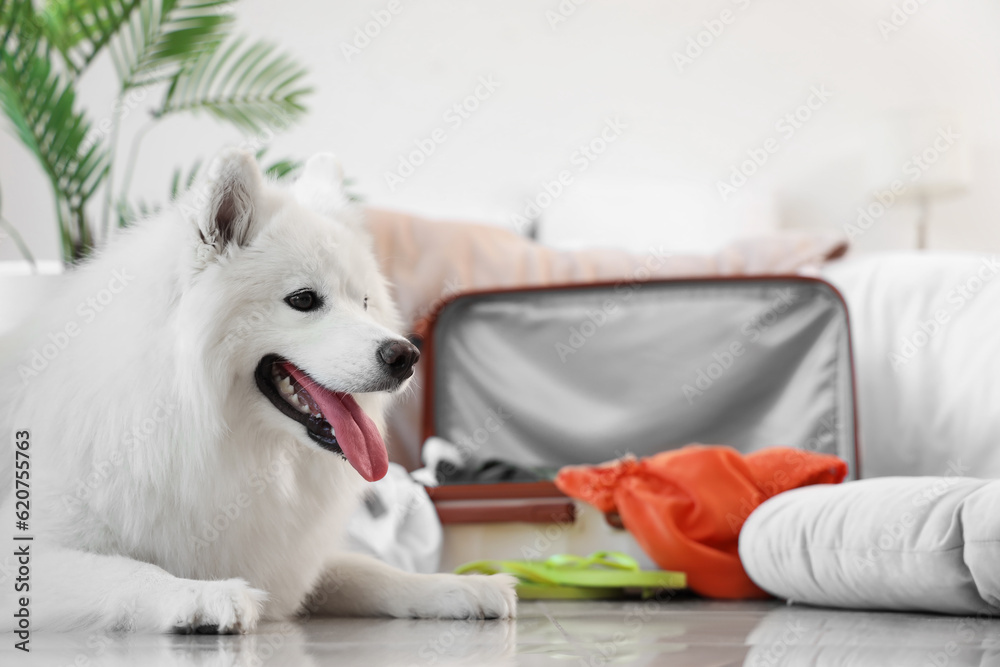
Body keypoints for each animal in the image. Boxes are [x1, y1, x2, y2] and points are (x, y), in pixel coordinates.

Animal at [0, 151, 516, 636]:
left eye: (365, 302)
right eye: (304, 300)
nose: (406, 355)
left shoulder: (289, 564)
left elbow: (369, 571)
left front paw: (460, 586)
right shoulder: (31, 551)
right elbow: (129, 570)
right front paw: (200, 594)